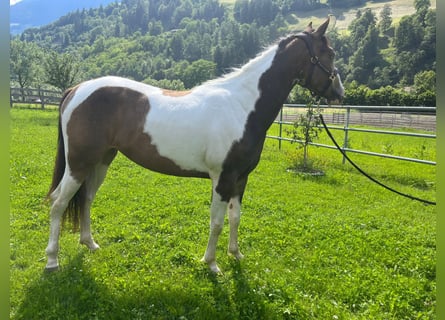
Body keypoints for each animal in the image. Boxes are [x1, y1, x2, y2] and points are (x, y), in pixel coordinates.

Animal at [45, 17, 344, 272]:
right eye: (330, 54)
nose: (340, 93)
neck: (242, 106)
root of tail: (76, 89)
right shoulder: (223, 179)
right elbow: (217, 222)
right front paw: (211, 264)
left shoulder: (240, 179)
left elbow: (235, 217)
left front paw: (236, 254)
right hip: (79, 164)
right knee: (58, 203)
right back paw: (52, 261)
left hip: (100, 161)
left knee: (85, 198)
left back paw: (90, 243)